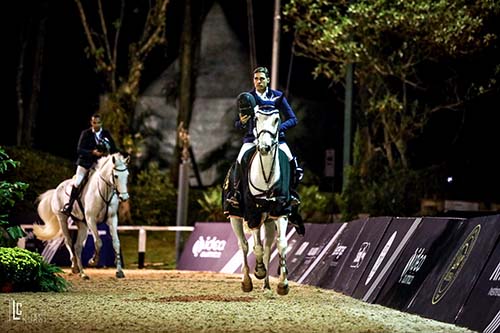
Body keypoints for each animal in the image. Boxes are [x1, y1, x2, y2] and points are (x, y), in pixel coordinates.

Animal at [227, 107, 290, 294]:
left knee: (268, 247)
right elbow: (256, 247)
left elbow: (281, 244)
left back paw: (267, 285)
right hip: (234, 217)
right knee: (244, 245)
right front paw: (259, 271)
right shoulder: (252, 212)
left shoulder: (280, 211)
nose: (264, 147)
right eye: (255, 119)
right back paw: (247, 281)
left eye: (277, 119)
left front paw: (283, 284)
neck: (267, 175)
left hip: (268, 221)